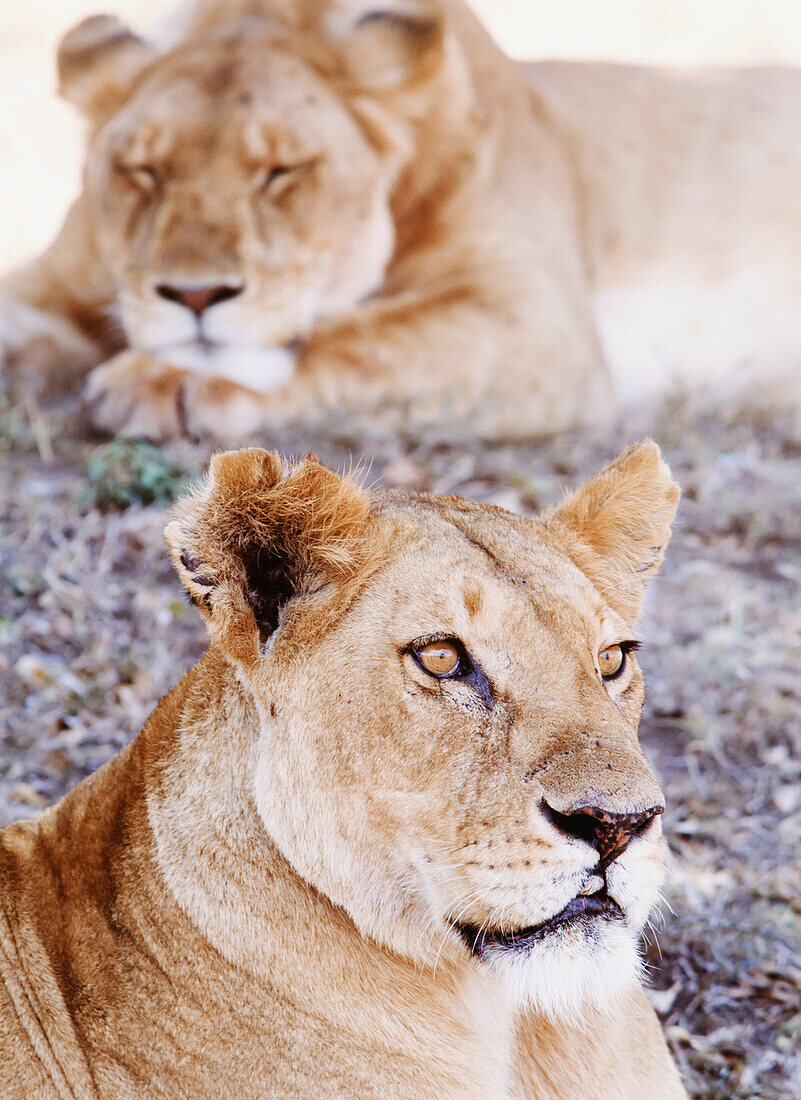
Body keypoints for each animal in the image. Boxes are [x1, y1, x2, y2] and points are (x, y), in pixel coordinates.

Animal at [4, 1, 800, 437]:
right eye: (143, 170)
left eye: (282, 172)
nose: (194, 295)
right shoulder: (40, 284)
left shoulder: (538, 320)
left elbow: (360, 336)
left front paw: (162, 376)